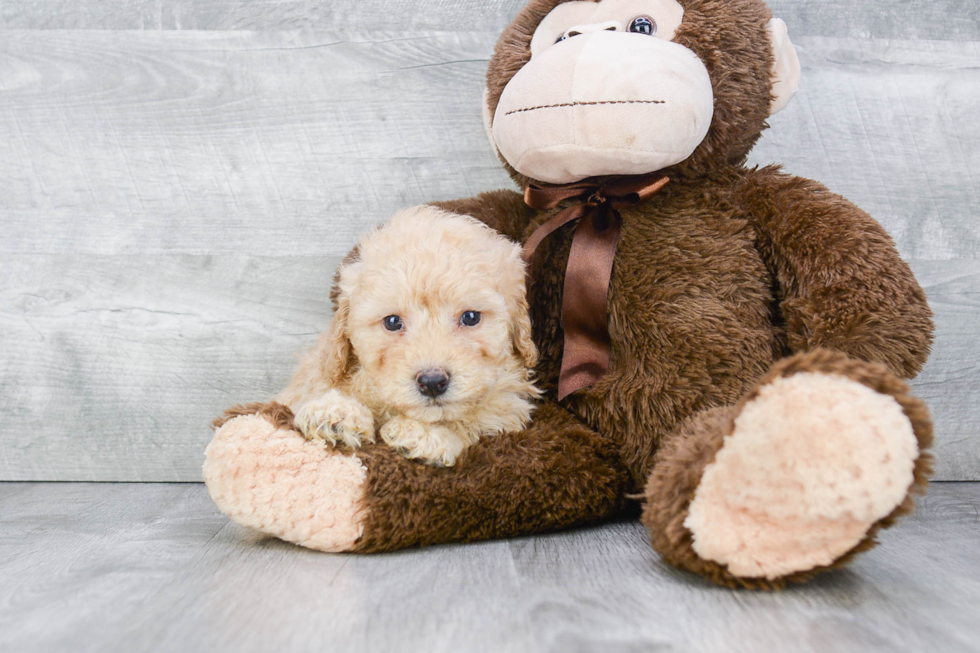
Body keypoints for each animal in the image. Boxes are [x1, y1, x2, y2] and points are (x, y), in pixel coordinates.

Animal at [276, 204, 540, 464]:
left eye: (471, 317)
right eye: (392, 322)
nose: (432, 382)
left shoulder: (507, 408)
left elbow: (475, 418)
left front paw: (424, 434)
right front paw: (335, 414)